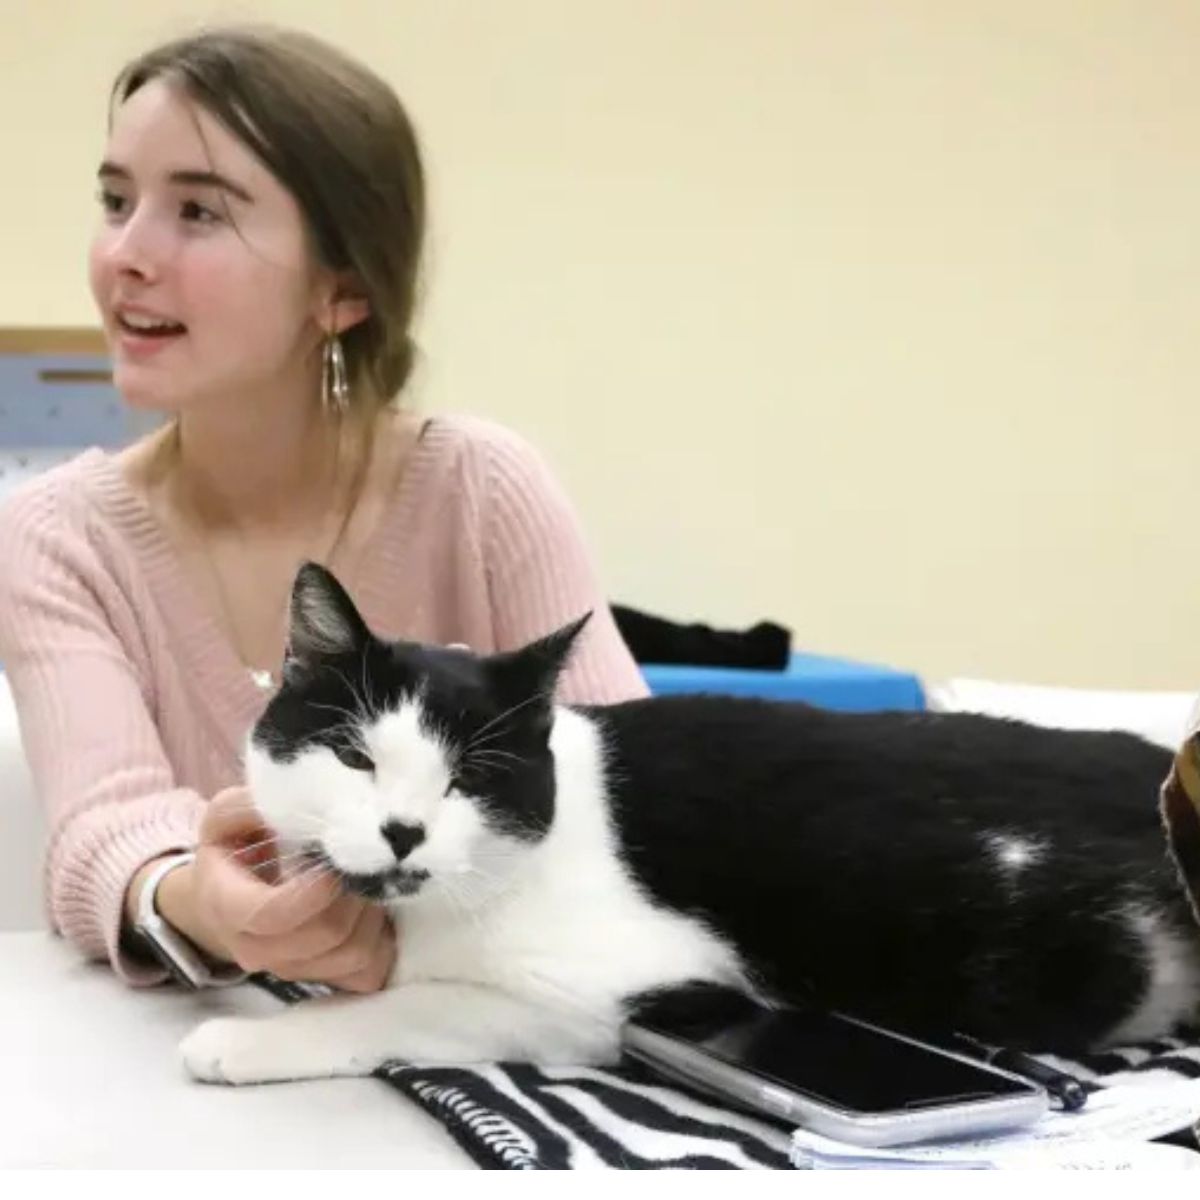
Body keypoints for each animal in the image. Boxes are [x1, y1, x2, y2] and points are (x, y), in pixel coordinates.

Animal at [180, 566, 1200, 1084]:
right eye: (355, 757)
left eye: (469, 780)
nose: (402, 833)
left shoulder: (631, 992)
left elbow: (418, 1006)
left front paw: (251, 1040)